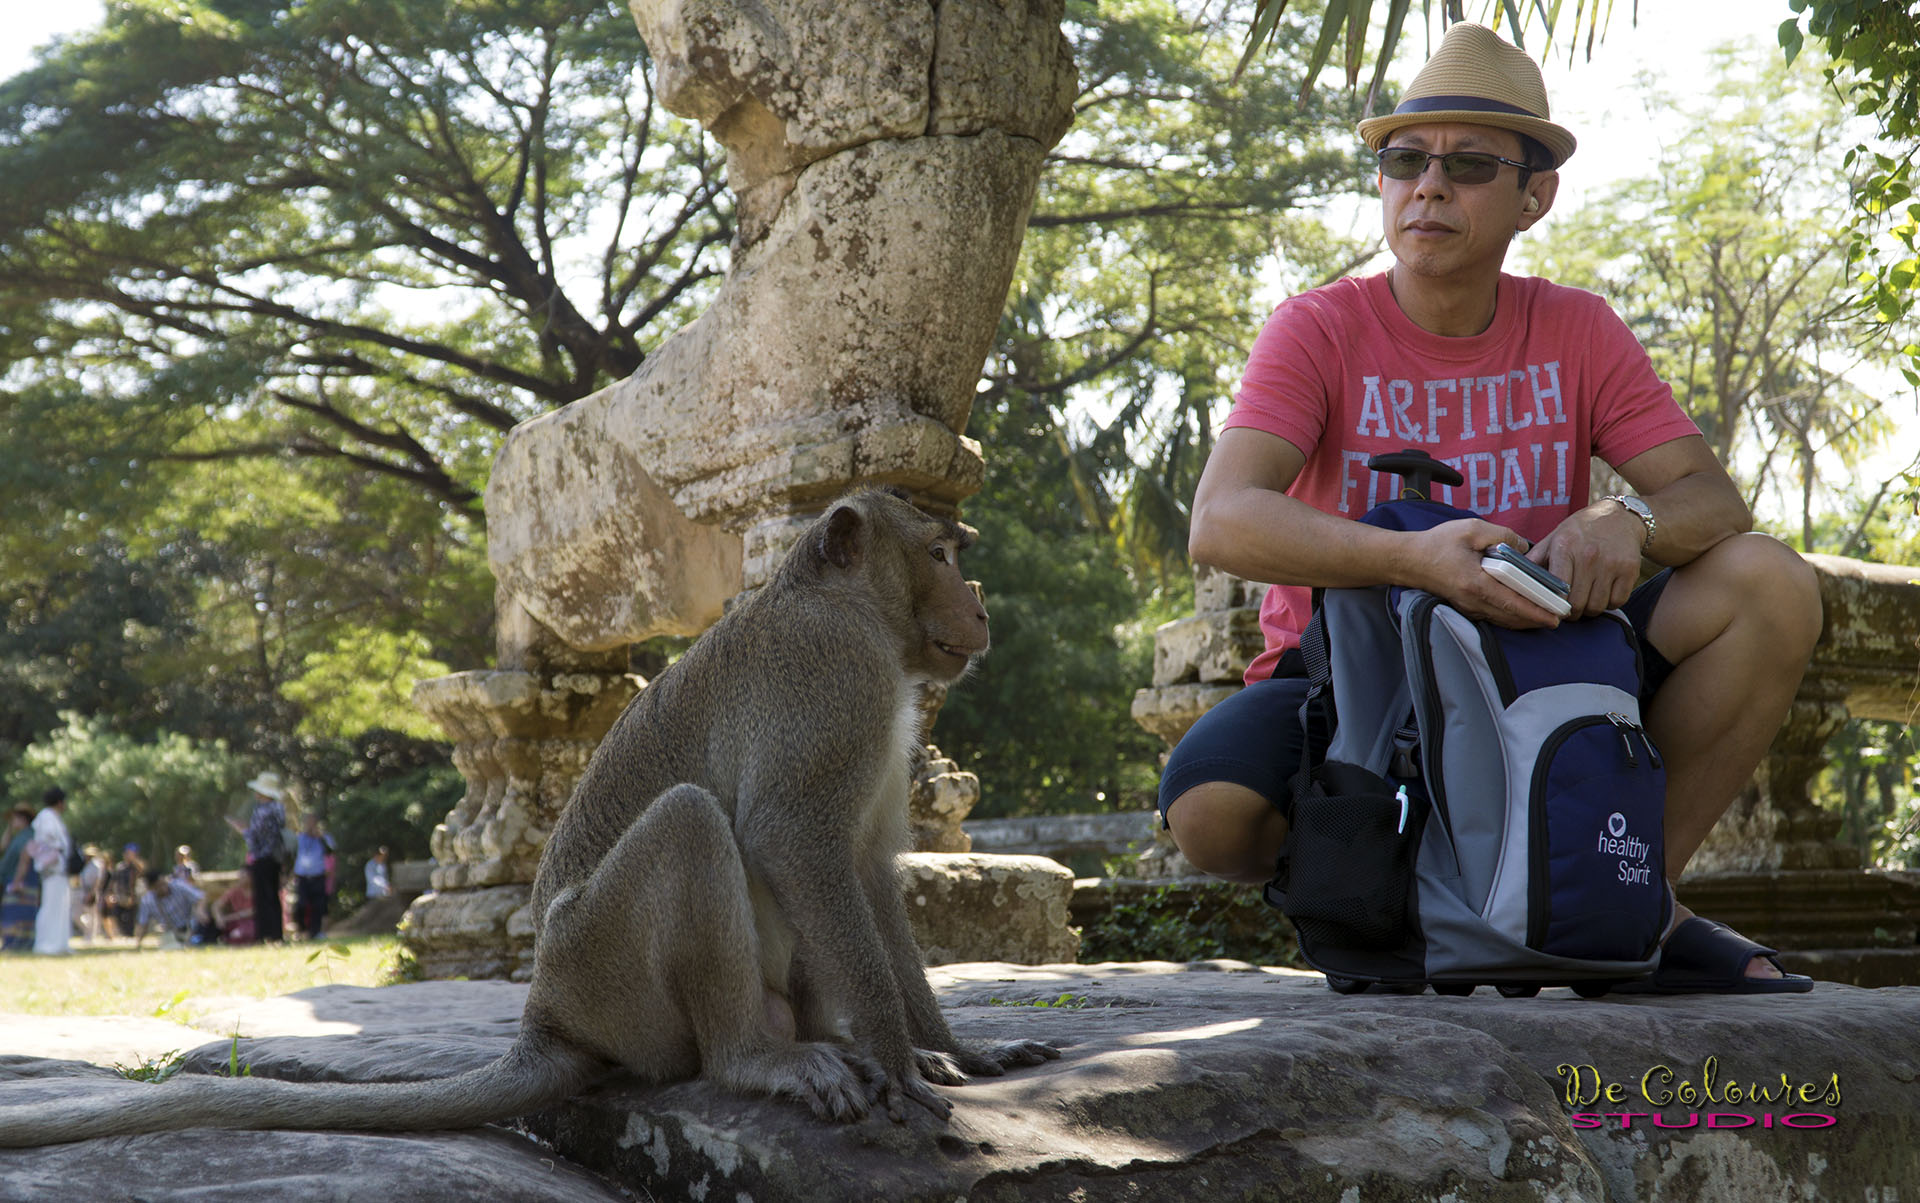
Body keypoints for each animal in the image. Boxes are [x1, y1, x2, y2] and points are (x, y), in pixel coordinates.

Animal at [0, 489, 1052, 1151]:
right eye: (940, 554)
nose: (979, 604)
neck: (849, 606)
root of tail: (546, 1009)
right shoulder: (834, 674)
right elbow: (795, 840)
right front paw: (904, 1069)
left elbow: (866, 870)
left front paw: (949, 1050)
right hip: (608, 976)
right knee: (688, 823)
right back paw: (758, 1060)